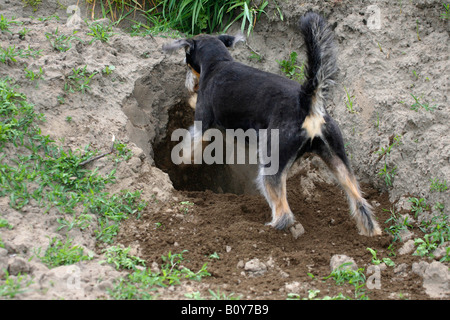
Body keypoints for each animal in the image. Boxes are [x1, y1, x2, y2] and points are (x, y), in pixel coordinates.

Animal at [162, 11, 380, 238]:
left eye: (187, 62)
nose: (188, 84)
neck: (218, 62)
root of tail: (307, 102)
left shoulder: (202, 124)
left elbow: (189, 145)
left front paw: (181, 161)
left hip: (272, 161)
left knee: (283, 211)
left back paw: (267, 230)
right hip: (337, 156)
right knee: (359, 199)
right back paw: (371, 232)